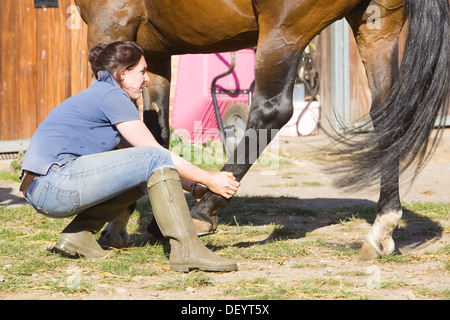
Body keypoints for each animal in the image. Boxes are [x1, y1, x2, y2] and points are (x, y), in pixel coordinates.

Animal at [75, 0, 448, 258]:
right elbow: (154, 133)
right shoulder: (153, 52)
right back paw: (382, 228)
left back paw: (203, 211)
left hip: (283, 32)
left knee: (271, 110)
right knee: (389, 116)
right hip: (377, 27)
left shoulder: (110, 27)